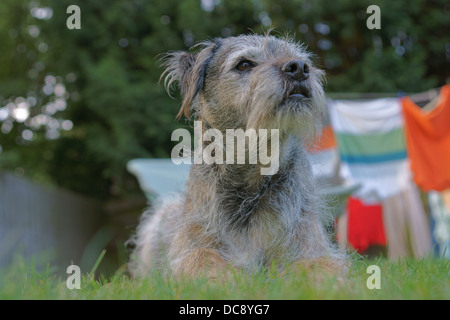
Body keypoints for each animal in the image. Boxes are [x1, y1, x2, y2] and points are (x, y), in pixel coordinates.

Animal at [128, 34, 346, 278]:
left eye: (299, 59)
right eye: (244, 64)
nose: (299, 68)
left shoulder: (309, 244)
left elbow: (317, 265)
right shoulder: (192, 246)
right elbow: (202, 257)